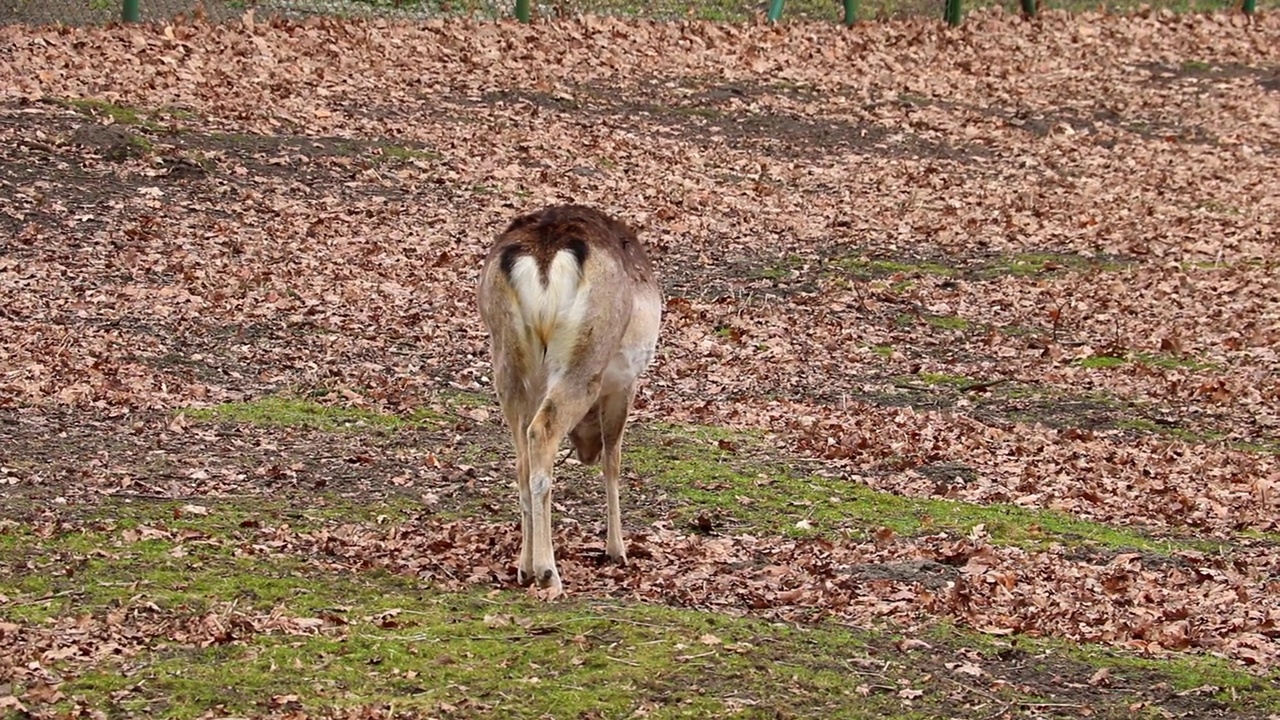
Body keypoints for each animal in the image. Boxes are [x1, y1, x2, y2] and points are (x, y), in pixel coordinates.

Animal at [476, 204, 665, 591]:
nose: (585, 453)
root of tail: (545, 253)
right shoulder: (624, 385)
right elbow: (614, 460)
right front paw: (617, 550)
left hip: (508, 360)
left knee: (522, 457)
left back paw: (524, 567)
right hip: (585, 359)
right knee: (542, 431)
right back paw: (548, 571)